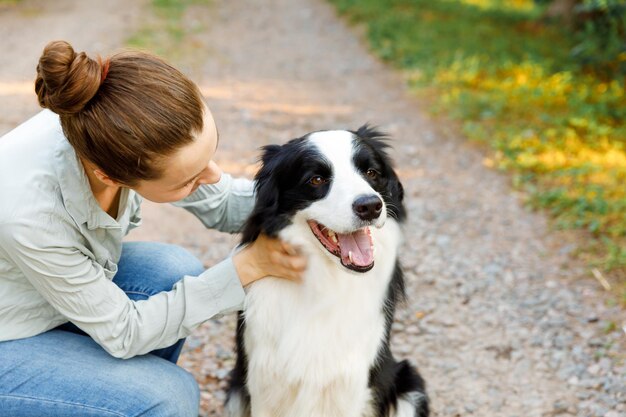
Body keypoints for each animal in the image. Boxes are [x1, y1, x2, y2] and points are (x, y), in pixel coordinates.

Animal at [225, 126, 428, 416]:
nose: (370, 206)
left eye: (371, 172)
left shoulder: (351, 383)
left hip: (409, 385)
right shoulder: (263, 380)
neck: (326, 280)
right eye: (317, 179)